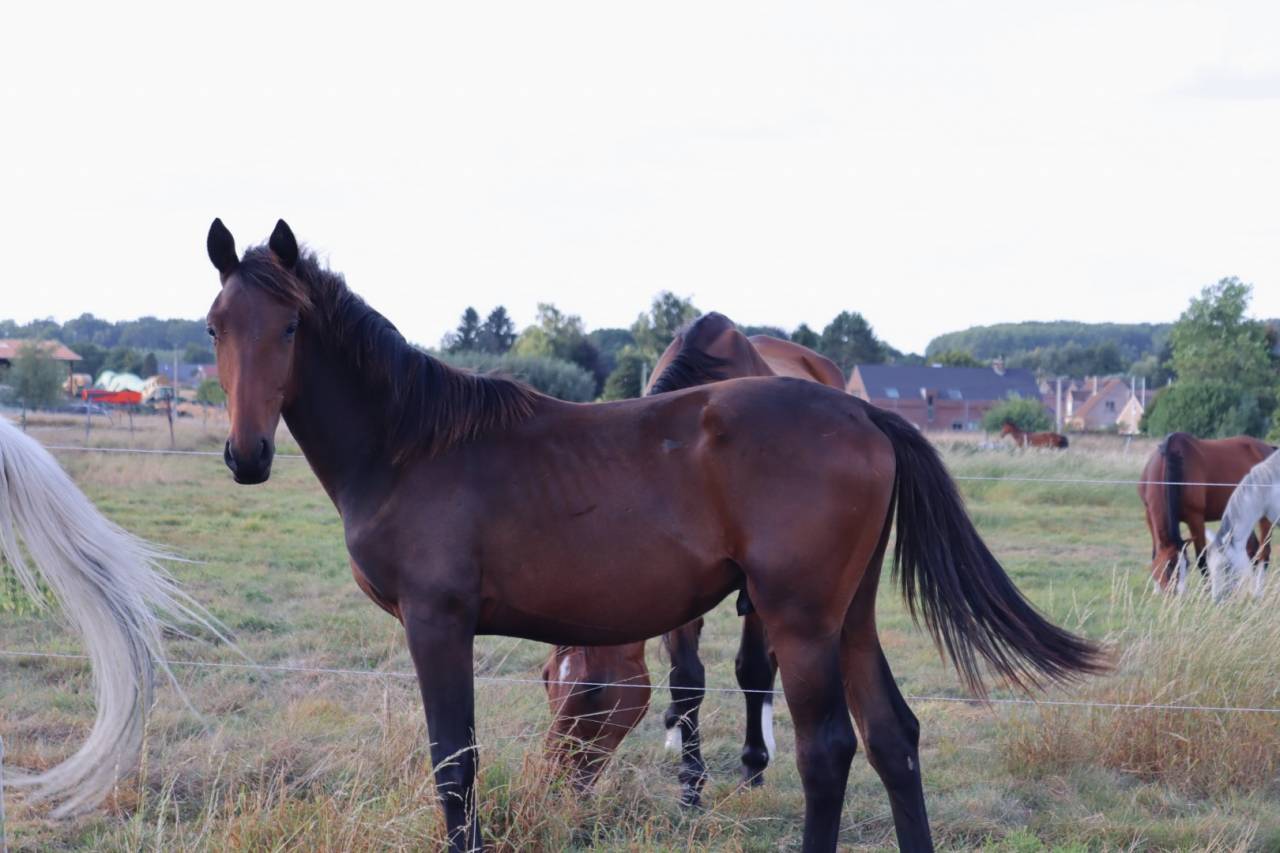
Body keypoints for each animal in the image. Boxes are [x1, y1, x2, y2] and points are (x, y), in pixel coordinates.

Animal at [542, 315, 845, 802]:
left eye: (593, 691)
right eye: (548, 677)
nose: (555, 781)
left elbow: (752, 668)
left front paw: (752, 766)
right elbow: (685, 677)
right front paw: (689, 780)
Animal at [1139, 432, 1275, 591]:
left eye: (1185, 565)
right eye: (1169, 566)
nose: (1179, 594)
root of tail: (1268, 449)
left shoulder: (1195, 518)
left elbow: (1202, 558)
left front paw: (1207, 591)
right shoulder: (1149, 514)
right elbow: (1155, 552)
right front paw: (1156, 590)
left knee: (1264, 552)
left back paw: (1257, 591)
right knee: (1251, 550)